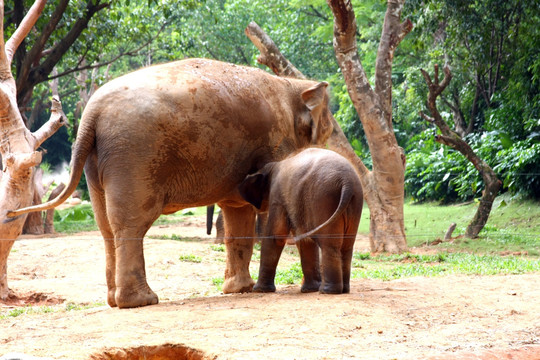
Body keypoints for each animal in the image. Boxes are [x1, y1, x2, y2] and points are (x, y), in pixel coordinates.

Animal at [6, 57, 338, 308]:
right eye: (330, 127)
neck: (291, 85)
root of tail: (90, 115)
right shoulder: (276, 142)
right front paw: (253, 288)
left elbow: (238, 211)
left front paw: (239, 289)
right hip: (134, 154)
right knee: (132, 222)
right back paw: (141, 301)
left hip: (97, 159)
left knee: (105, 225)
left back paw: (115, 301)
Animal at [239, 148, 362, 294]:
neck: (273, 166)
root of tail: (347, 182)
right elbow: (305, 241)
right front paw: (309, 290)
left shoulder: (278, 197)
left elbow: (276, 236)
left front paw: (259, 290)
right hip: (354, 202)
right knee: (346, 246)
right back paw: (343, 290)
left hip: (324, 199)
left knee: (329, 245)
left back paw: (327, 291)